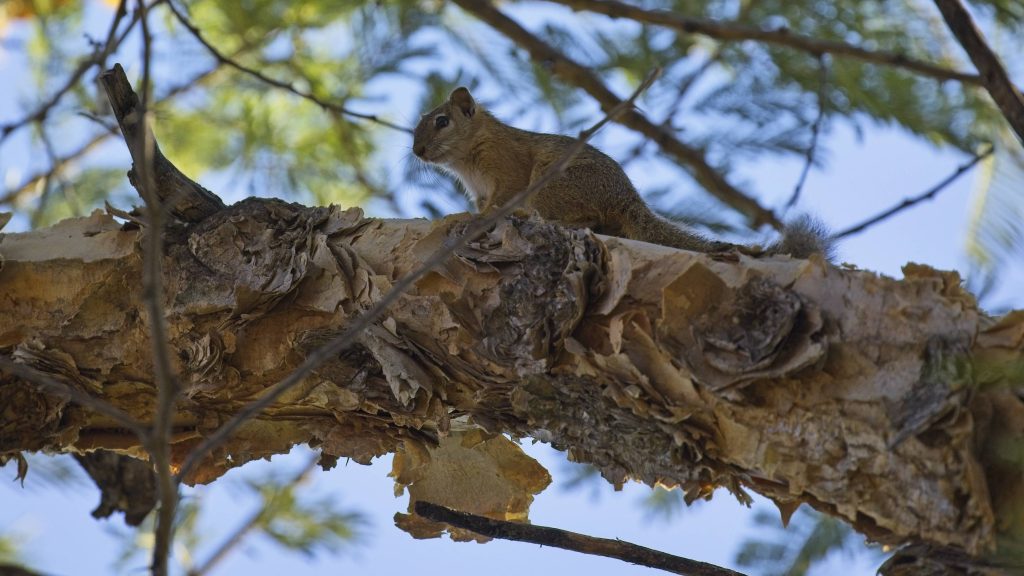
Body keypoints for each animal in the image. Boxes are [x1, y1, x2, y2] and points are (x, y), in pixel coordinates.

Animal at [412, 86, 834, 260]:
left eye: (442, 121)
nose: (417, 151)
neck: (468, 157)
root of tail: (627, 199)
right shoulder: (480, 189)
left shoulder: (508, 167)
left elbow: (500, 199)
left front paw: (478, 219)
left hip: (554, 187)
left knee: (578, 216)